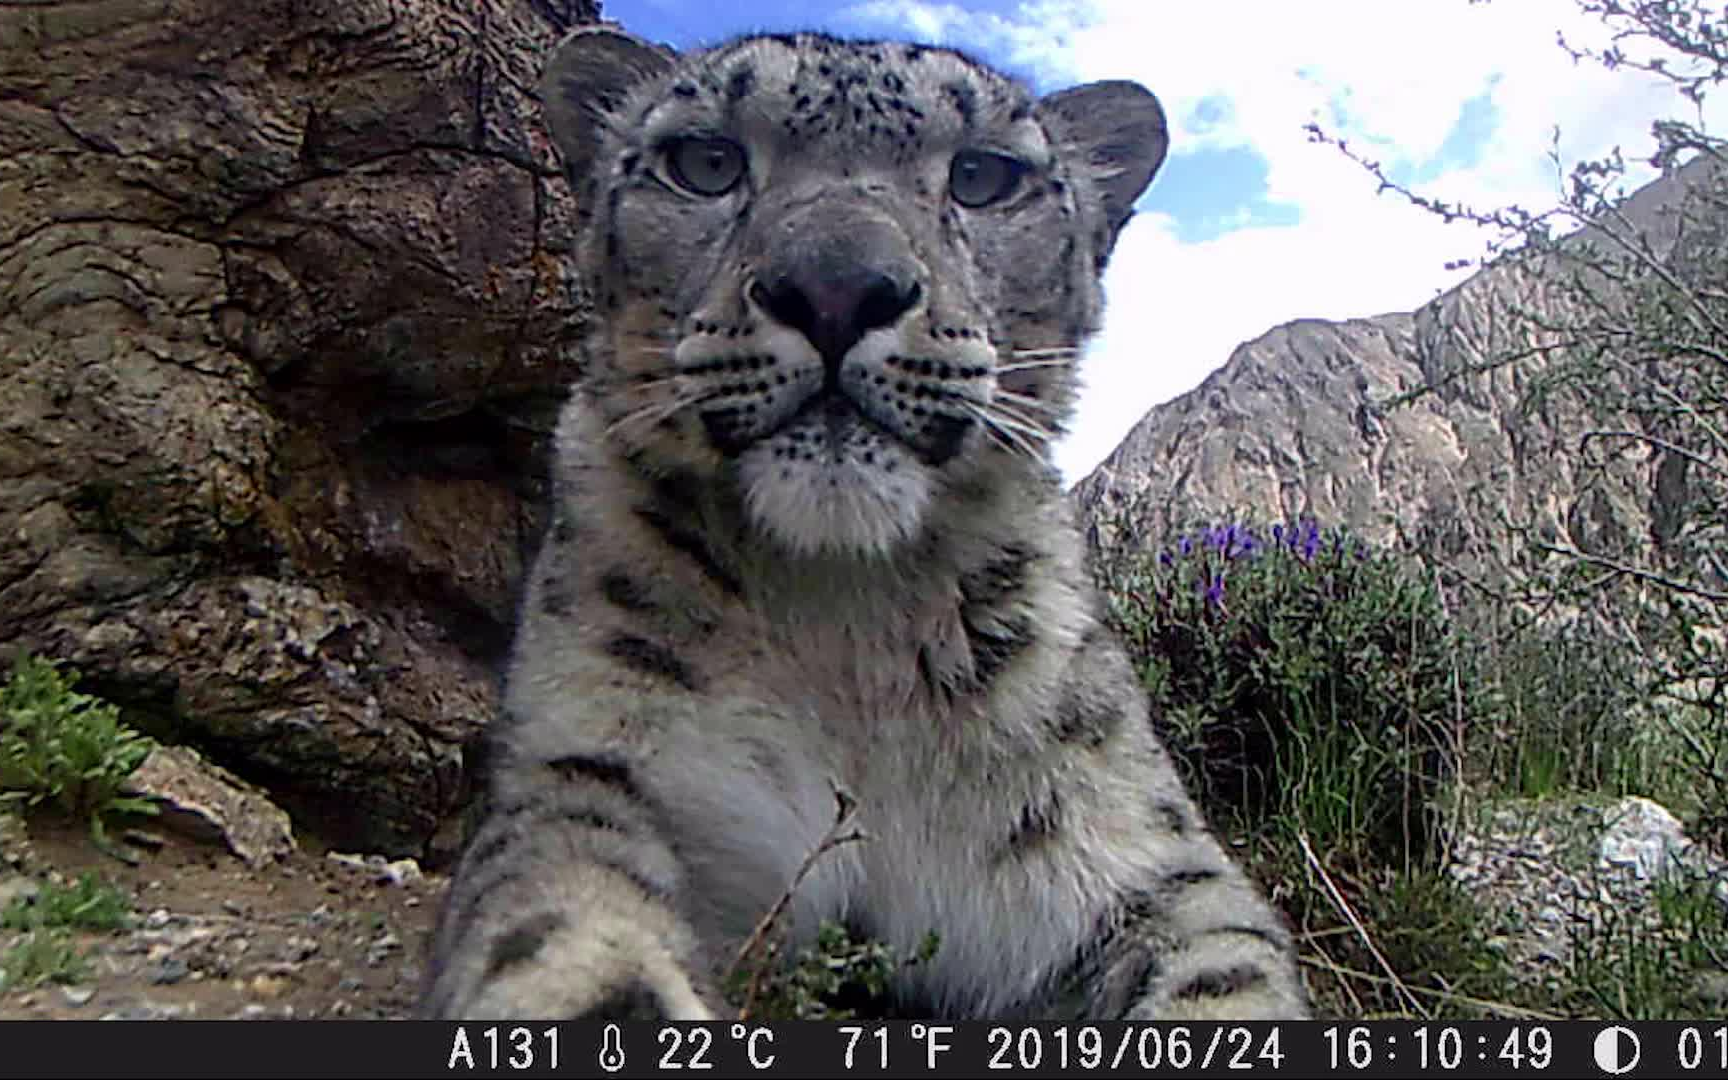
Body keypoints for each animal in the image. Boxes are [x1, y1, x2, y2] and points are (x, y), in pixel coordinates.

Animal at [418, 23, 1306, 1016]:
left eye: (983, 176)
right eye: (706, 161)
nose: (837, 288)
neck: (846, 629)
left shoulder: (1132, 852)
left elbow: (1227, 976)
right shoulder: (589, 771)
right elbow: (565, 928)